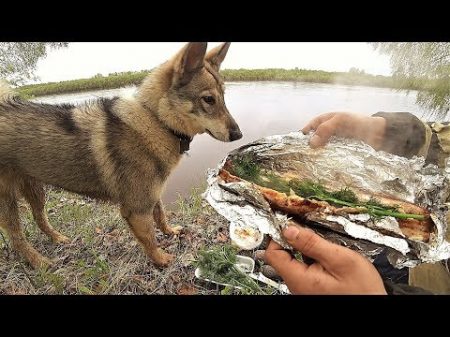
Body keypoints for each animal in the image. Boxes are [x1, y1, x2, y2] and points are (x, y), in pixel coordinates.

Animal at [0, 42, 243, 268]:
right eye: (209, 99)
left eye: (223, 97)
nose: (238, 134)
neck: (156, 120)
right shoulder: (136, 209)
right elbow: (149, 238)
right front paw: (161, 259)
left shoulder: (152, 194)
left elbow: (161, 215)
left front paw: (170, 231)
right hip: (8, 202)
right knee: (16, 238)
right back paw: (38, 262)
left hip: (35, 189)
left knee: (39, 218)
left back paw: (58, 238)